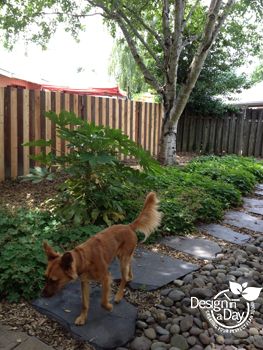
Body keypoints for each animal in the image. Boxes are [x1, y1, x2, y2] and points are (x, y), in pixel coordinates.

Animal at [42, 191, 162, 326]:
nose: (42, 295)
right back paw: (130, 276)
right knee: (130, 265)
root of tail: (129, 226)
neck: (83, 259)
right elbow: (84, 303)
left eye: (54, 280)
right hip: (123, 257)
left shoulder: (105, 278)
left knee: (123, 278)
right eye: (45, 278)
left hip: (122, 260)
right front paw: (82, 318)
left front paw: (109, 307)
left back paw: (119, 295)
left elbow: (103, 301)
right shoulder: (85, 282)